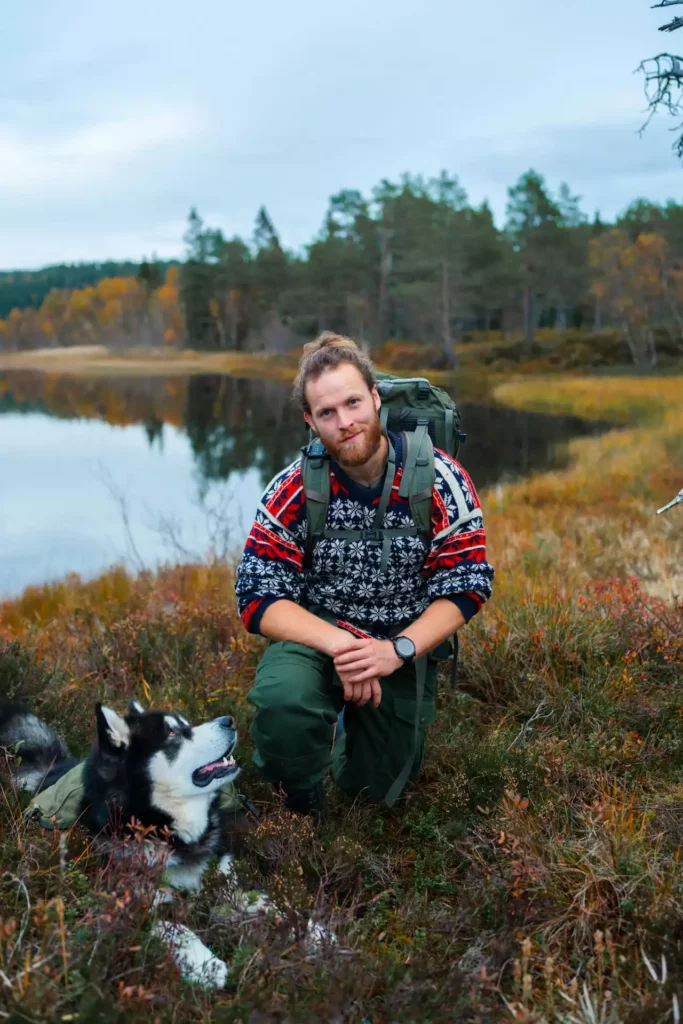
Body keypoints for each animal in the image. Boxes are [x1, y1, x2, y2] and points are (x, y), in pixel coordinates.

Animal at [0, 696, 255, 983]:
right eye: (173, 733)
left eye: (186, 724)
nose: (229, 721)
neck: (161, 825)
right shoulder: (123, 901)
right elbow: (171, 925)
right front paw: (203, 962)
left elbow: (237, 888)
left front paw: (264, 910)